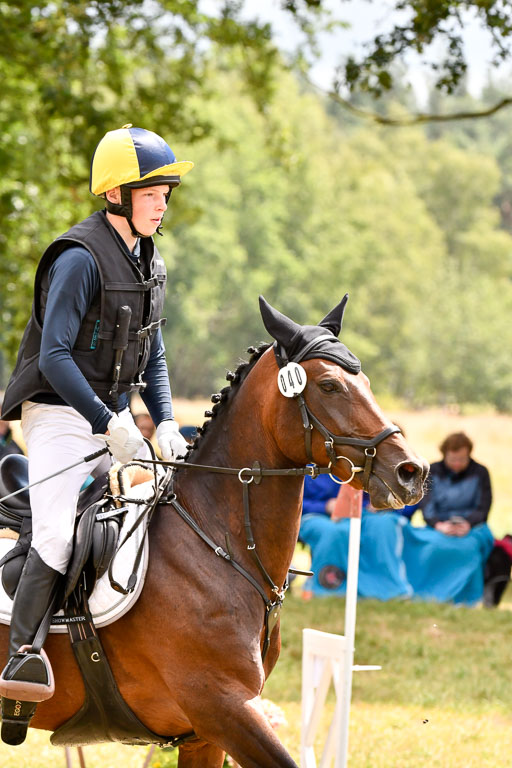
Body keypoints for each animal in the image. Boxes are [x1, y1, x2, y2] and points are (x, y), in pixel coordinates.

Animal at [0, 296, 428, 768]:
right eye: (330, 385)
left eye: (365, 381)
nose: (411, 472)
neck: (216, 541)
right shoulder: (225, 708)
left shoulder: (204, 734)